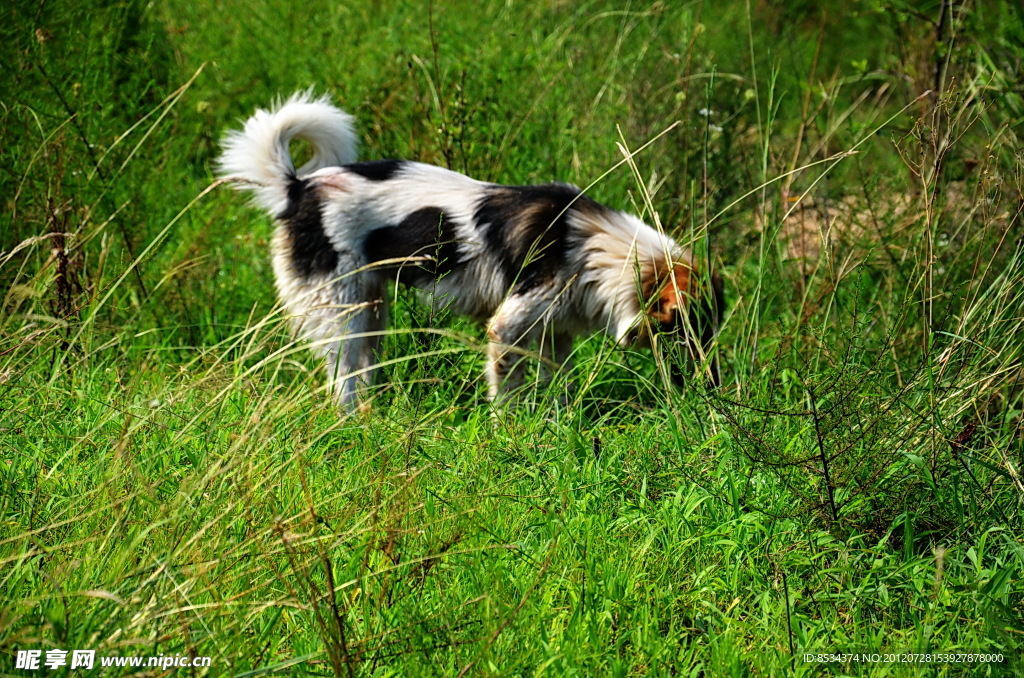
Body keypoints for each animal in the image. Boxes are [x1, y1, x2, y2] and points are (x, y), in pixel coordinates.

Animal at [220, 93, 724, 411]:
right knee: (341, 381)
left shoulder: (555, 332)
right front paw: (509, 435)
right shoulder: (508, 327)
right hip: (342, 314)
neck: (597, 248)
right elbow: (507, 394)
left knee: (363, 373)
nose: (714, 389)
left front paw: (561, 428)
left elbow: (557, 389)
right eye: (691, 332)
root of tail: (298, 188)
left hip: (371, 311)